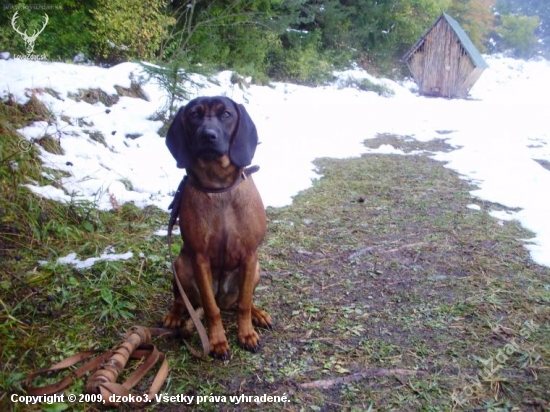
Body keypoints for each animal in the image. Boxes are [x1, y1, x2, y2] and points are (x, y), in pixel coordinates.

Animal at [163, 95, 272, 358]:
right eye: (194, 114)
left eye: (226, 114)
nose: (208, 135)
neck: (218, 186)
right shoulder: (199, 259)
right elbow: (211, 309)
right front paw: (217, 341)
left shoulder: (250, 256)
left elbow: (244, 303)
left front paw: (246, 334)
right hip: (180, 265)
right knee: (182, 300)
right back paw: (174, 315)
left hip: (256, 270)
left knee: (243, 300)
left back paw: (258, 313)